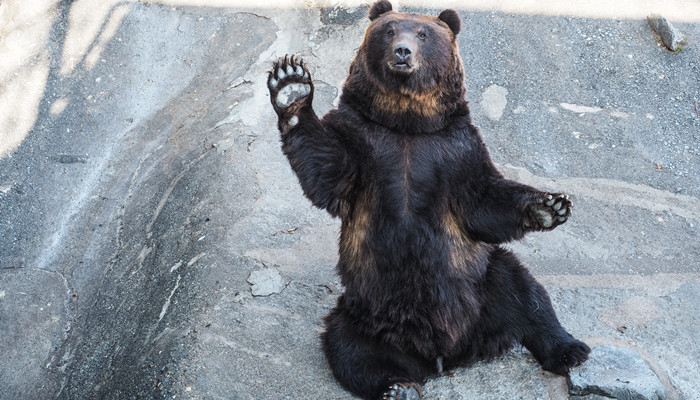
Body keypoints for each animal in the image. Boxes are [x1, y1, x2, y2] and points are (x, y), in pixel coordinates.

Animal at [266, 1, 588, 398]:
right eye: (389, 30)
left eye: (423, 33)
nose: (402, 51)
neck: (407, 124)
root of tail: (443, 356)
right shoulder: (362, 141)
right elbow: (328, 169)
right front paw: (291, 86)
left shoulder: (456, 151)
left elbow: (483, 201)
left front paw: (549, 206)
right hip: (363, 312)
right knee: (349, 349)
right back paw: (396, 385)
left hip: (481, 283)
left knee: (525, 293)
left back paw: (570, 350)